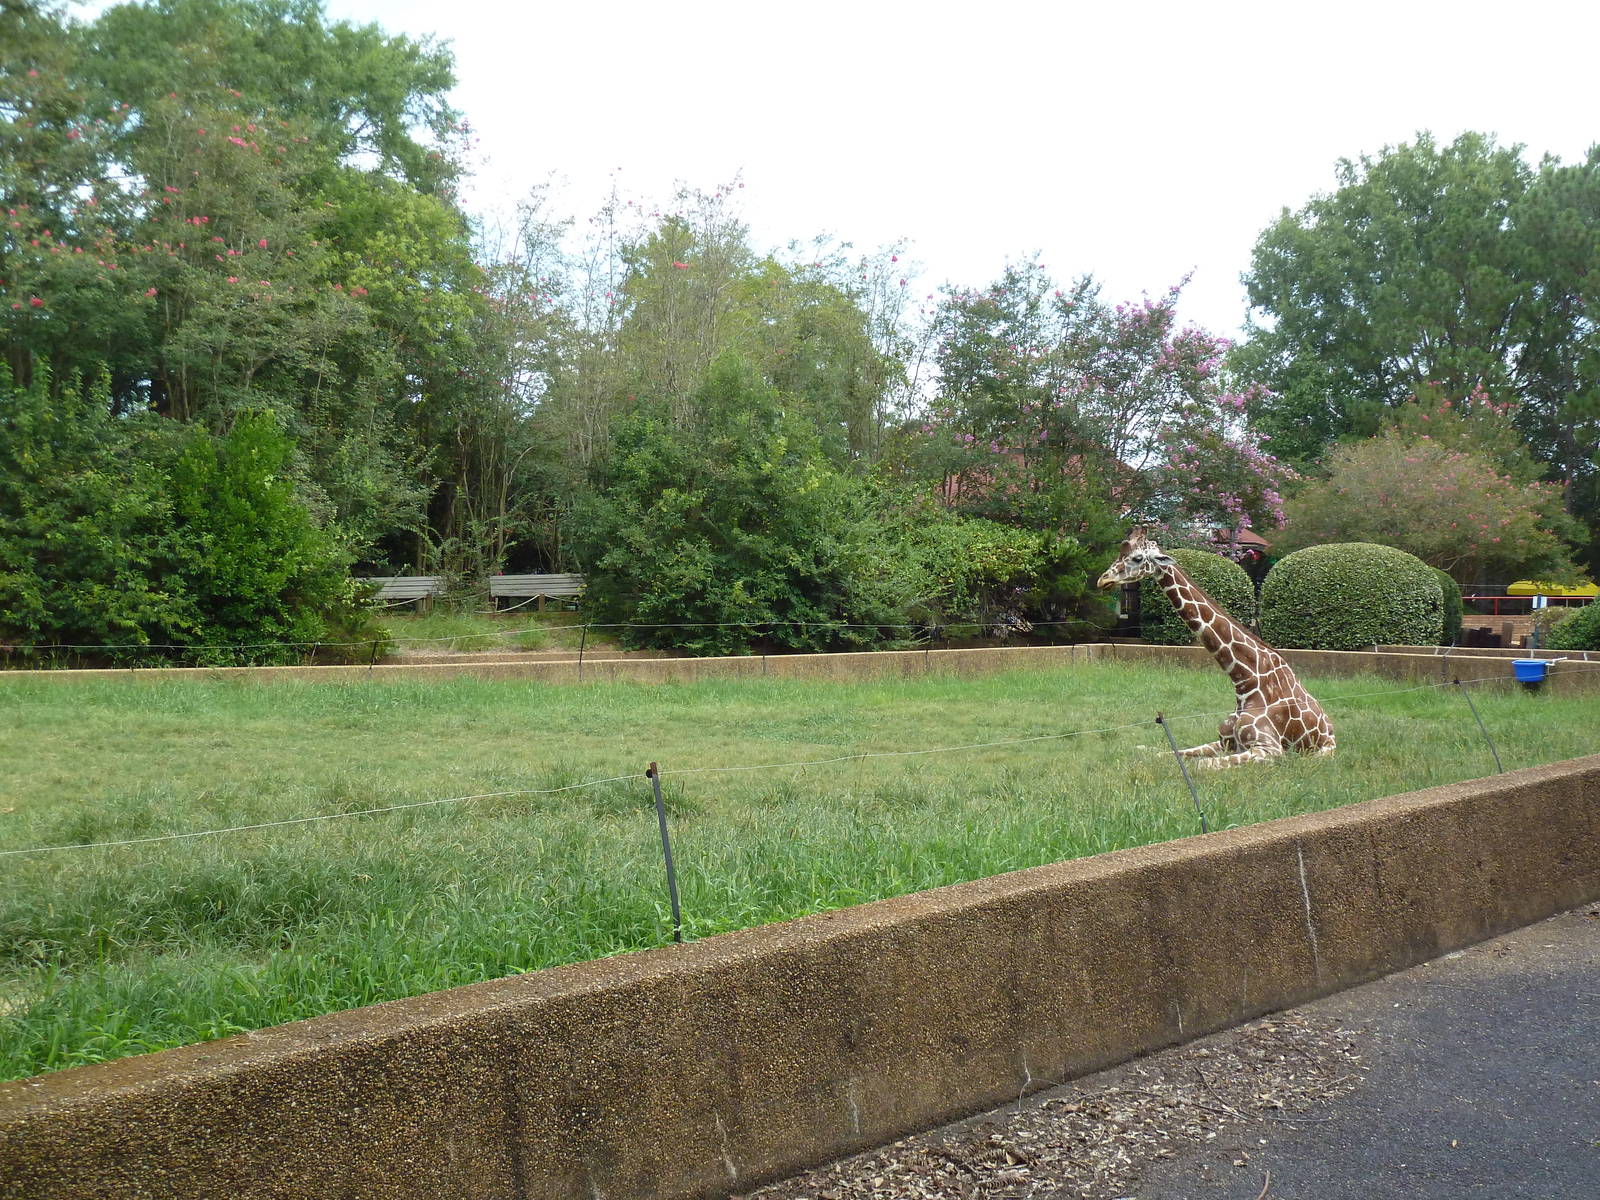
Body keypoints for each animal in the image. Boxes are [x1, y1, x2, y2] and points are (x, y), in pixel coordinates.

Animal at [1097, 528, 1335, 768]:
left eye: (1137, 558)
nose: (1102, 580)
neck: (1245, 681)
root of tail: (1329, 725)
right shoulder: (1223, 742)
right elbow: (1163, 753)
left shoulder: (1269, 749)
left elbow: (1200, 765)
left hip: (1322, 752)